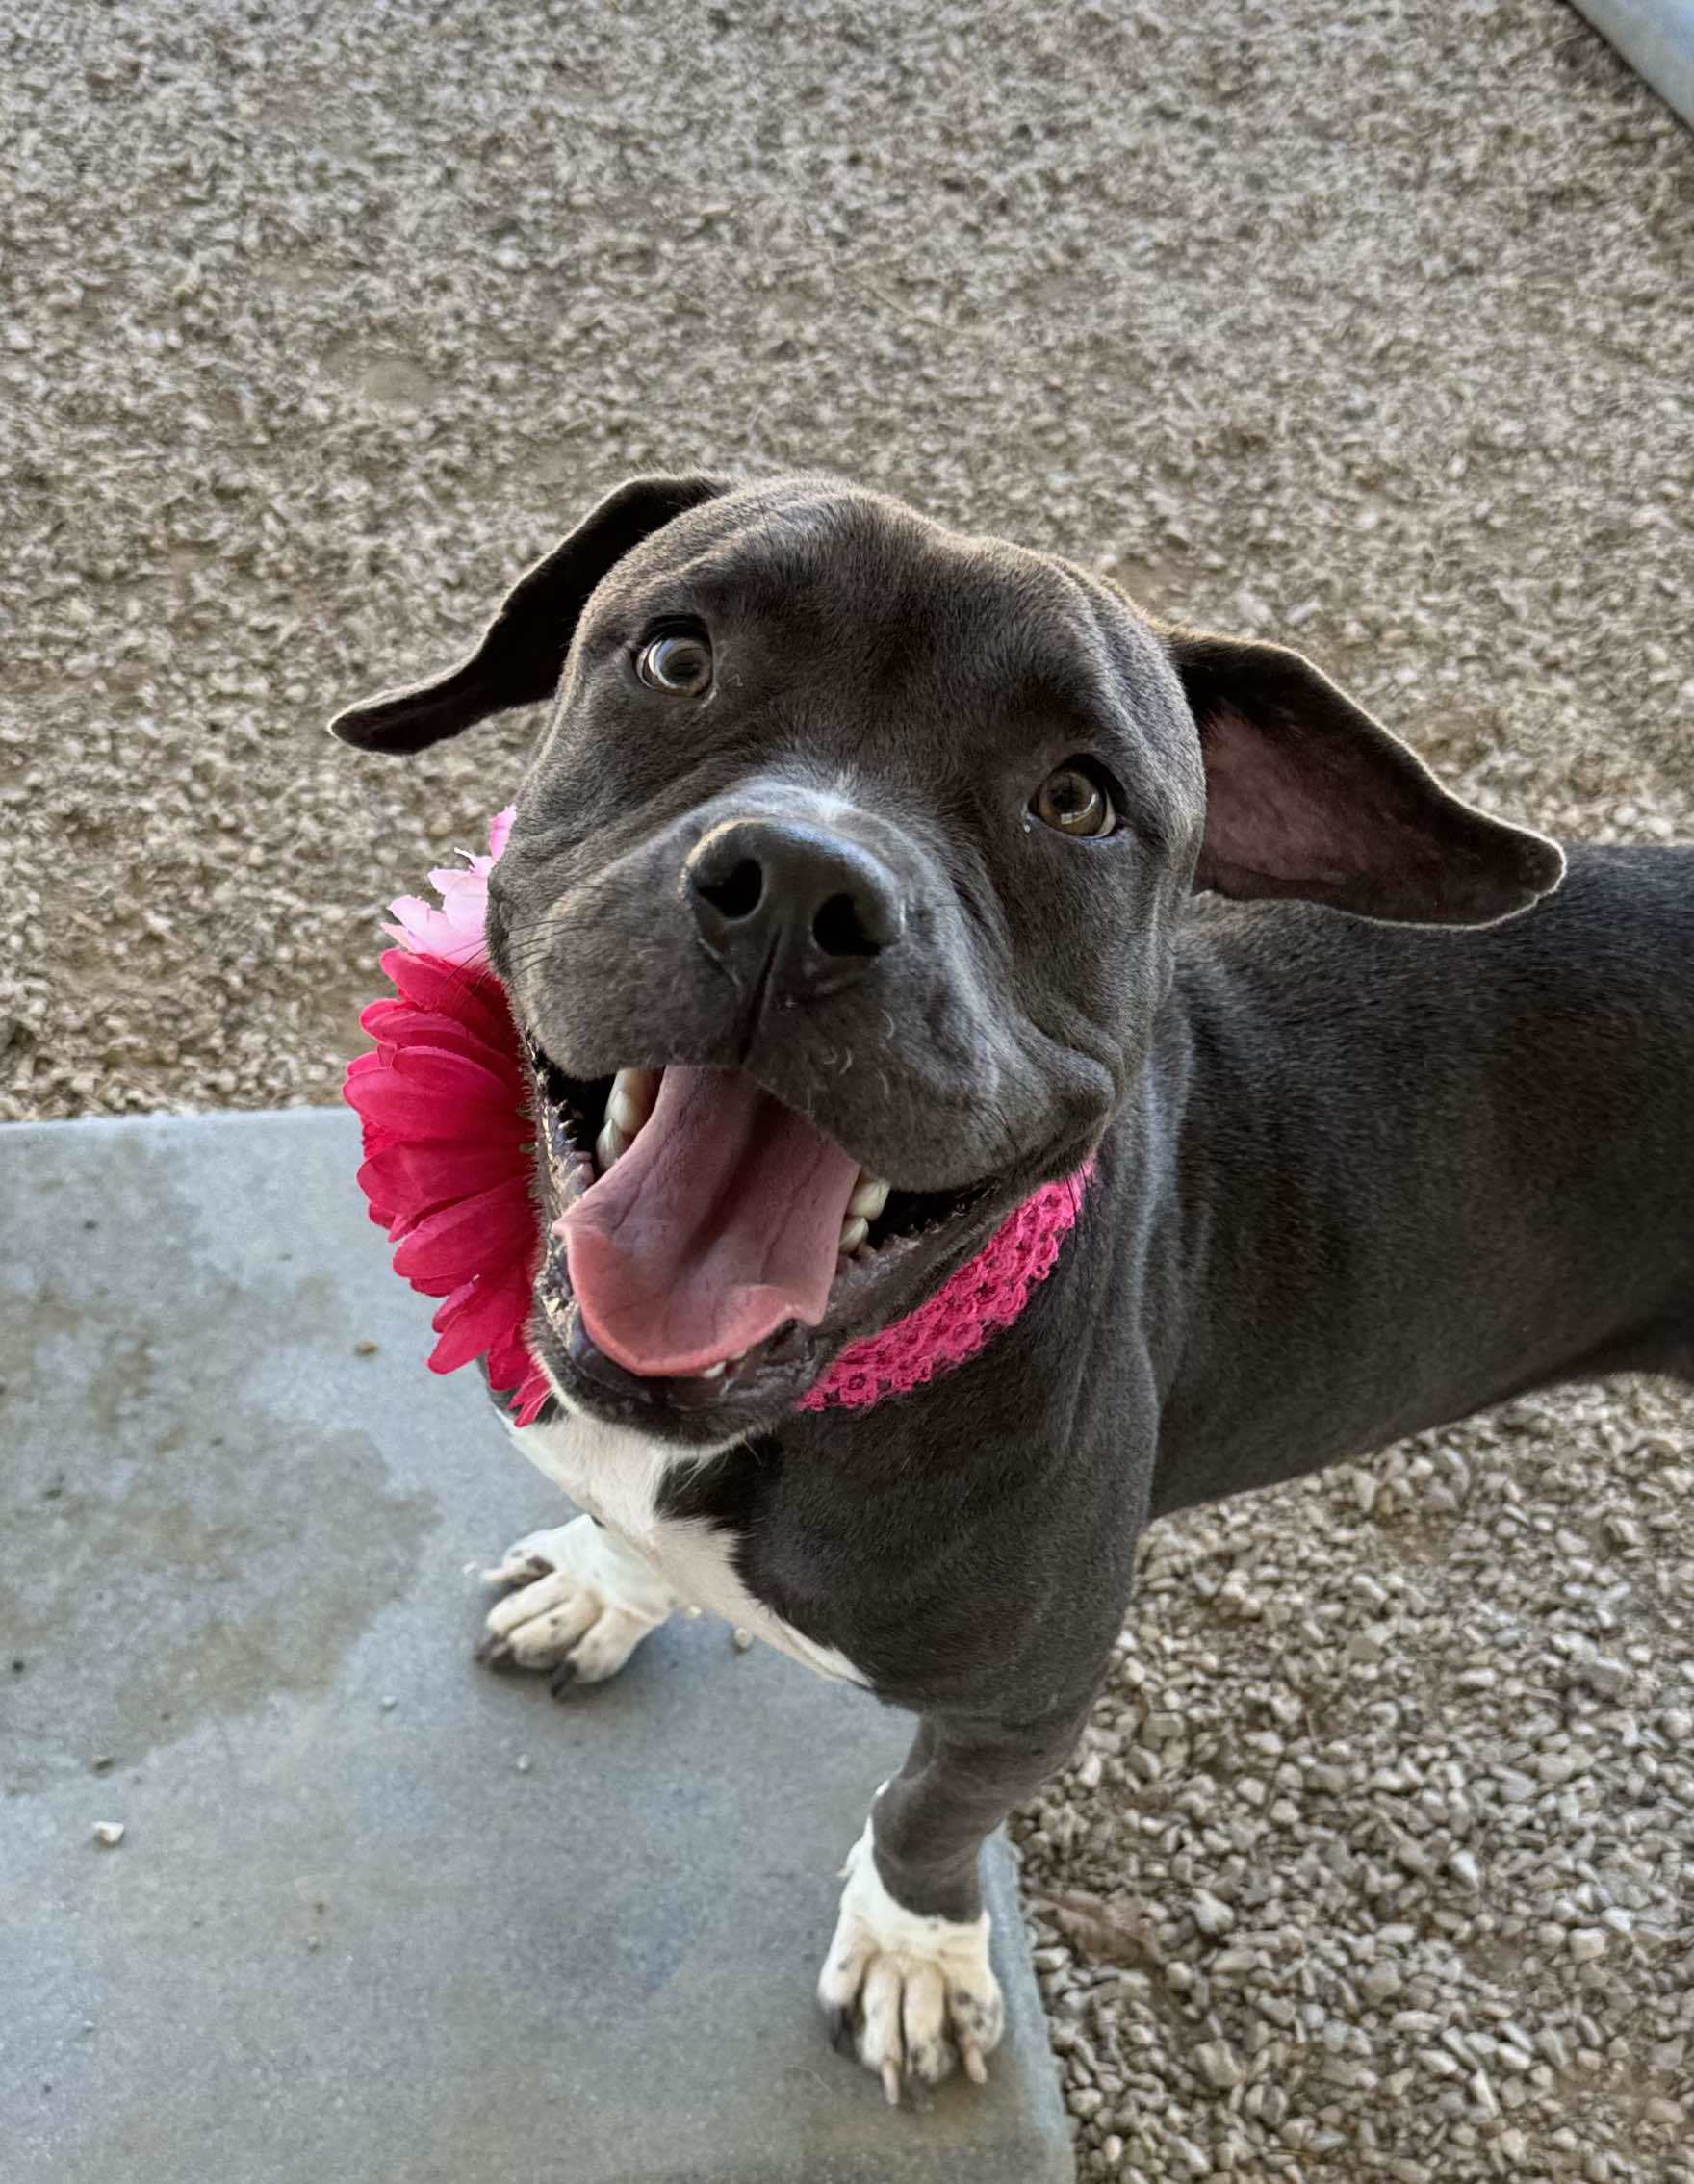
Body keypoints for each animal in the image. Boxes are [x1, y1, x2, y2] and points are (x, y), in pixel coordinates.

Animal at [334, 474, 1693, 2096]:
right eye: (675, 655)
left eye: (1078, 800)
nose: (802, 880)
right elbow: (622, 1534)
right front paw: (606, 1588)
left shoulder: (1025, 1700)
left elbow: (928, 1813)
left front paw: (915, 1952)